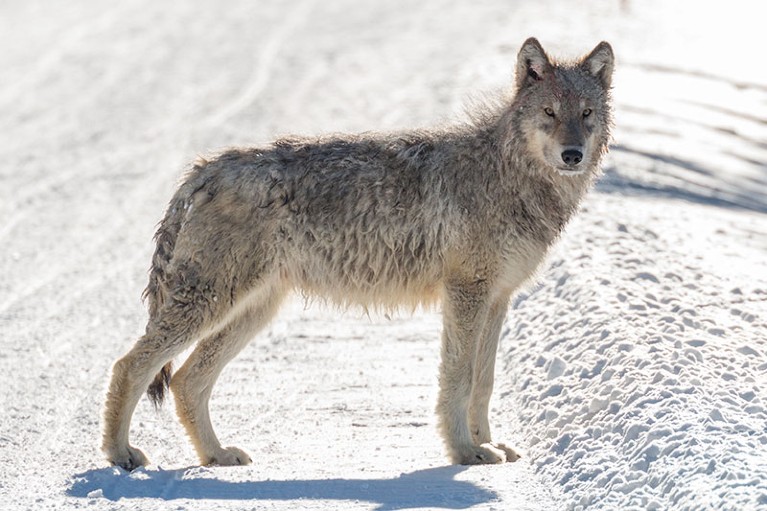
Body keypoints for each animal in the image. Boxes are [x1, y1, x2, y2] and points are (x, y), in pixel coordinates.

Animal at [103, 38, 616, 470]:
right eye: (549, 112)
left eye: (586, 113)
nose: (572, 154)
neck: (509, 174)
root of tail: (205, 168)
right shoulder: (465, 293)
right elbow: (459, 379)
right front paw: (465, 452)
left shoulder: (497, 298)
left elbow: (484, 382)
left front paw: (486, 444)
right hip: (212, 304)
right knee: (130, 366)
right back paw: (120, 455)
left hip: (252, 310)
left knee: (186, 381)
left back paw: (216, 455)